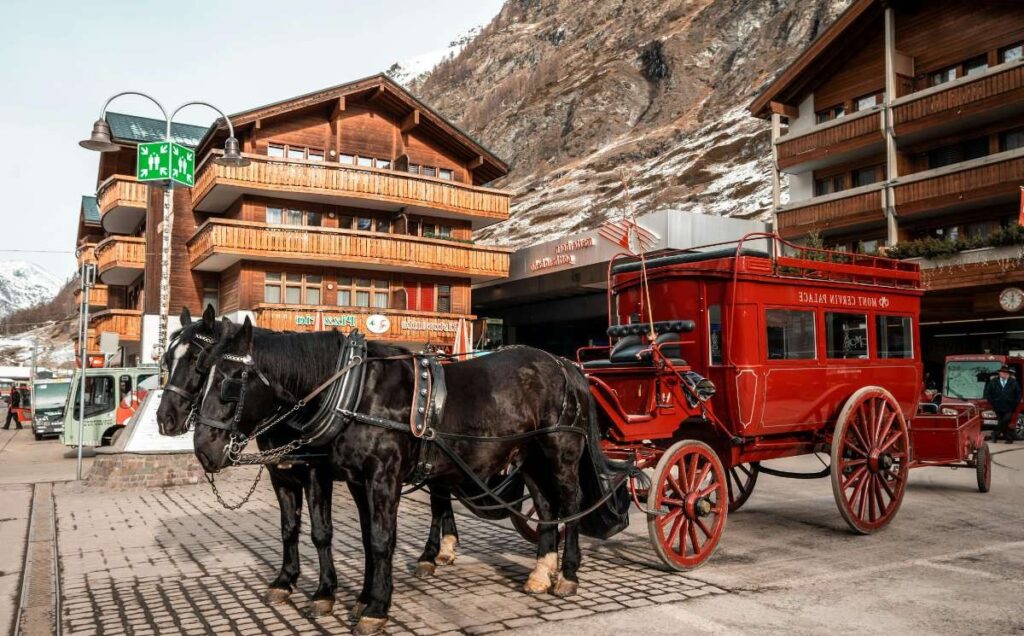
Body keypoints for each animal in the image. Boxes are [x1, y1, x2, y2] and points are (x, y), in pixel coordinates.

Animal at [154, 307, 460, 614]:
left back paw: (433, 553)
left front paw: (325, 592)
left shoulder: (316, 474)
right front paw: (285, 580)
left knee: (438, 501)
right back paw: (439, 550)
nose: (165, 419)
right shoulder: (279, 473)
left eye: (196, 361)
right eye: (167, 360)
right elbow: (289, 528)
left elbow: (321, 532)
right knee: (440, 497)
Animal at [195, 319, 618, 630]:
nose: (202, 447)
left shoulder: (383, 476)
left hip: (559, 452)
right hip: (528, 458)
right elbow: (368, 539)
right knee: (546, 507)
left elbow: (382, 540)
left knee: (570, 504)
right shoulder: (356, 480)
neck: (354, 391)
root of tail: (566, 366)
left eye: (231, 379)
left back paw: (567, 575)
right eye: (202, 372)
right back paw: (540, 572)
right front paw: (364, 598)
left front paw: (375, 608)